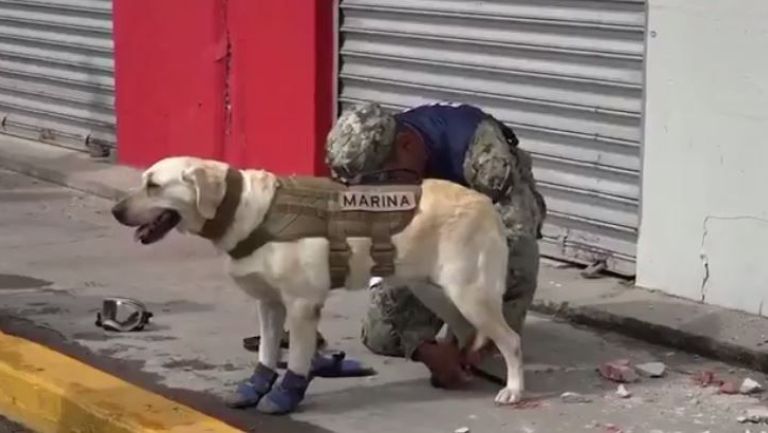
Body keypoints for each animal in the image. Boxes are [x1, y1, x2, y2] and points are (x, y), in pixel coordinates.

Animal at [112, 155, 520, 412]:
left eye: (153, 185)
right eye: (144, 182)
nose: (115, 211)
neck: (243, 210)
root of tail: (485, 201)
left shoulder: (302, 306)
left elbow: (296, 360)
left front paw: (284, 398)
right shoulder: (269, 305)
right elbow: (266, 354)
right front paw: (255, 388)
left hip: (468, 292)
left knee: (510, 340)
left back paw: (513, 390)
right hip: (434, 289)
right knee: (468, 332)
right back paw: (457, 371)